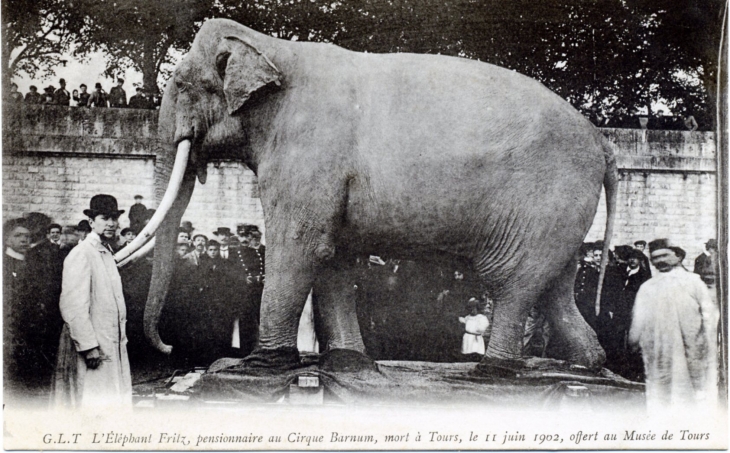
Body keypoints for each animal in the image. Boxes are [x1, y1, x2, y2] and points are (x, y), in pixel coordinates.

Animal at [125, 16, 616, 370]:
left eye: (182, 85)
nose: (167, 349)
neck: (274, 47)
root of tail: (603, 142)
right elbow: (332, 258)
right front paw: (346, 361)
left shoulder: (309, 153)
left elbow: (300, 247)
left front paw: (263, 364)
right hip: (561, 213)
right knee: (556, 283)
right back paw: (586, 365)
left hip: (543, 200)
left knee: (513, 282)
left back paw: (494, 370)